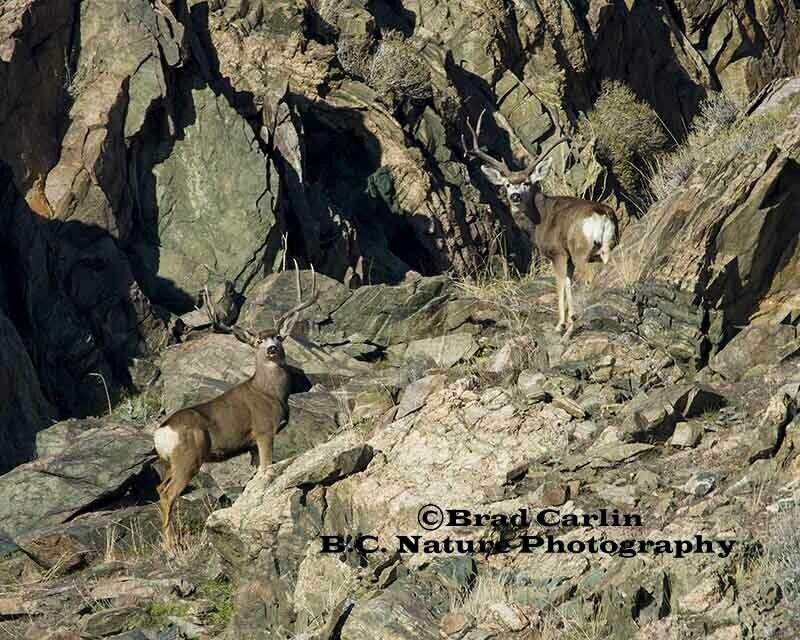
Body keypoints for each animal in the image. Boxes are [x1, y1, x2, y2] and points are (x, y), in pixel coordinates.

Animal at [153, 263, 318, 545]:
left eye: (278, 337)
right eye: (259, 341)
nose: (272, 349)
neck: (270, 393)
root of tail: (161, 433)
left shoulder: (250, 444)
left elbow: (255, 476)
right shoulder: (264, 431)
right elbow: (266, 469)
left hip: (170, 462)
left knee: (159, 487)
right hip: (188, 457)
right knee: (168, 494)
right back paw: (171, 546)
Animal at [463, 110, 618, 335]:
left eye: (527, 183)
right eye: (507, 184)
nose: (515, 196)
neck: (539, 220)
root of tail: (602, 213)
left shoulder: (558, 253)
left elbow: (560, 285)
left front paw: (560, 324)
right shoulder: (567, 259)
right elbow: (568, 284)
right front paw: (568, 320)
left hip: (581, 249)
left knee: (588, 276)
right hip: (608, 245)